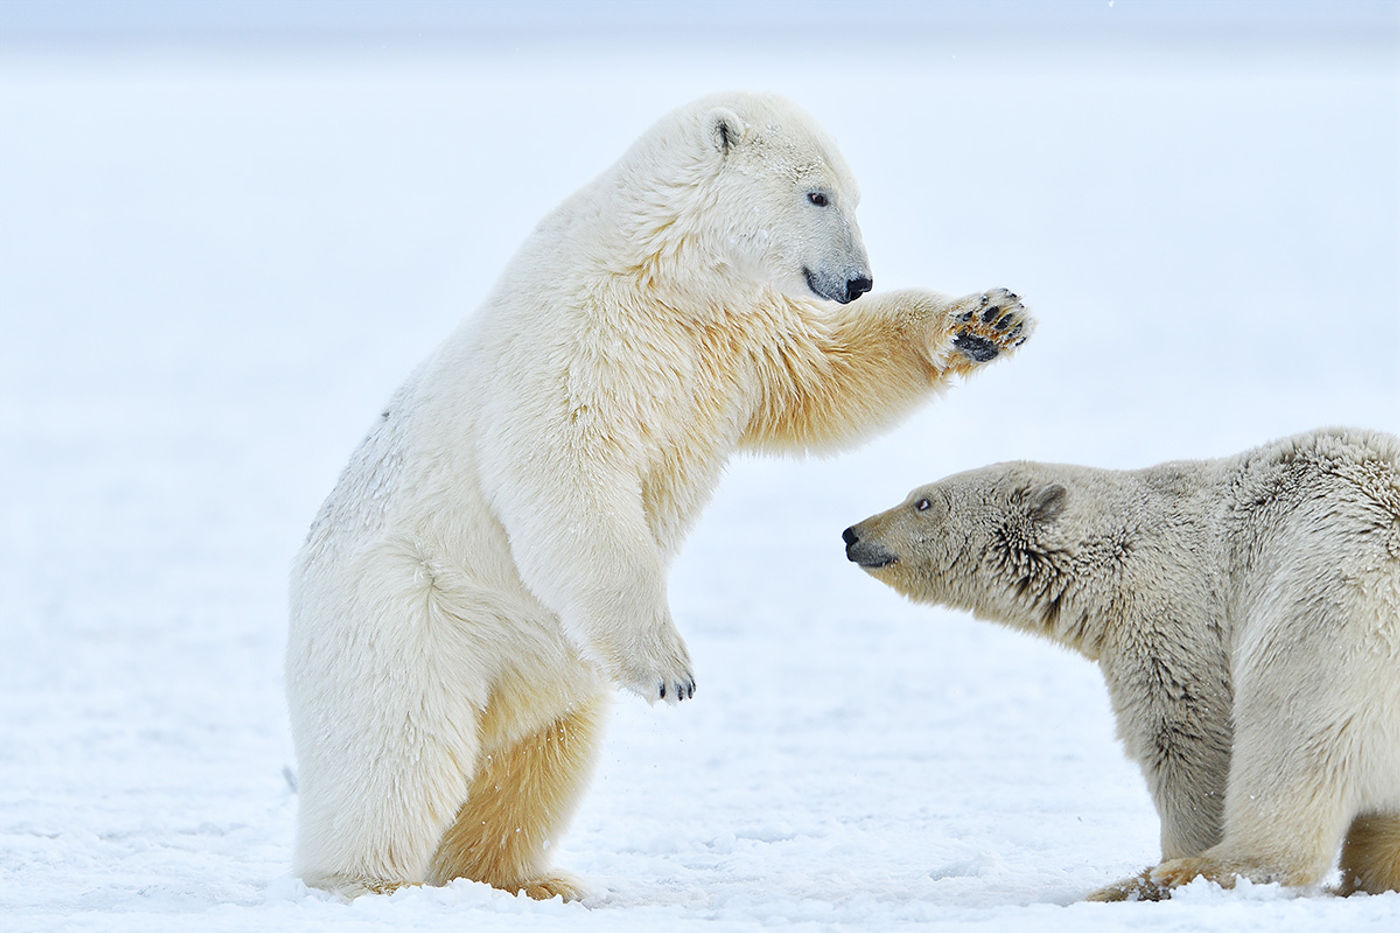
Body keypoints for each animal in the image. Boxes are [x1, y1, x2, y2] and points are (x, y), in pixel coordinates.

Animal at [287, 91, 1030, 896]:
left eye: (853, 196)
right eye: (817, 195)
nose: (858, 279)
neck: (661, 272)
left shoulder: (738, 331)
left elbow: (830, 367)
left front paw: (988, 319)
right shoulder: (579, 342)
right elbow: (568, 470)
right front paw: (671, 670)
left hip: (545, 664)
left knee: (538, 756)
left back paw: (529, 878)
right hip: (412, 610)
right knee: (400, 748)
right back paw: (367, 880)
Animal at [840, 425, 1400, 896]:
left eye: (923, 501)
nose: (852, 534)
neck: (1121, 539)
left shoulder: (1171, 610)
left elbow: (1185, 734)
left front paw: (1179, 851)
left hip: (1325, 627)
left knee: (1289, 747)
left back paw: (1158, 879)